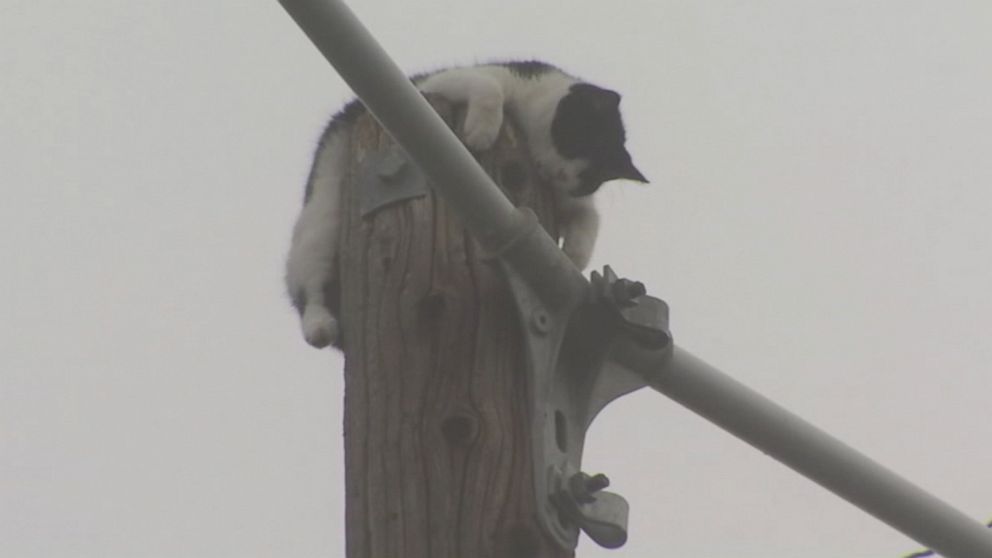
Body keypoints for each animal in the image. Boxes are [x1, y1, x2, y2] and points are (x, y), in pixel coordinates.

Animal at [282, 62, 648, 350]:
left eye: (590, 177)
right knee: (308, 284)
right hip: (321, 216)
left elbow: (589, 216)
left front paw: (573, 255)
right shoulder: (434, 87)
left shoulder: (568, 199)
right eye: (580, 140)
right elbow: (488, 86)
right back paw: (319, 326)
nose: (561, 174)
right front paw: (481, 132)